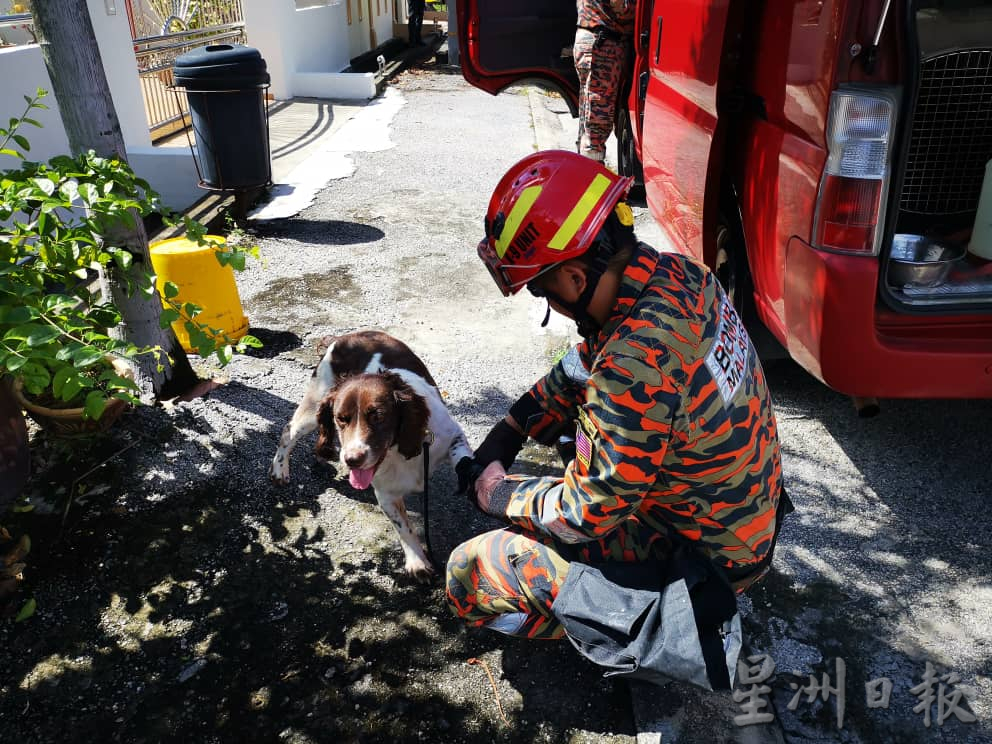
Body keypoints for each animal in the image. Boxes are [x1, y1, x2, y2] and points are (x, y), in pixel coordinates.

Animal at [272, 332, 472, 580]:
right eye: (341, 418)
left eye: (378, 416)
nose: (352, 460)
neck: (398, 451)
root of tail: (343, 337)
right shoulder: (385, 494)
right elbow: (403, 527)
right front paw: (417, 561)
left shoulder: (452, 436)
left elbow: (464, 459)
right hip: (314, 406)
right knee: (288, 431)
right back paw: (280, 470)